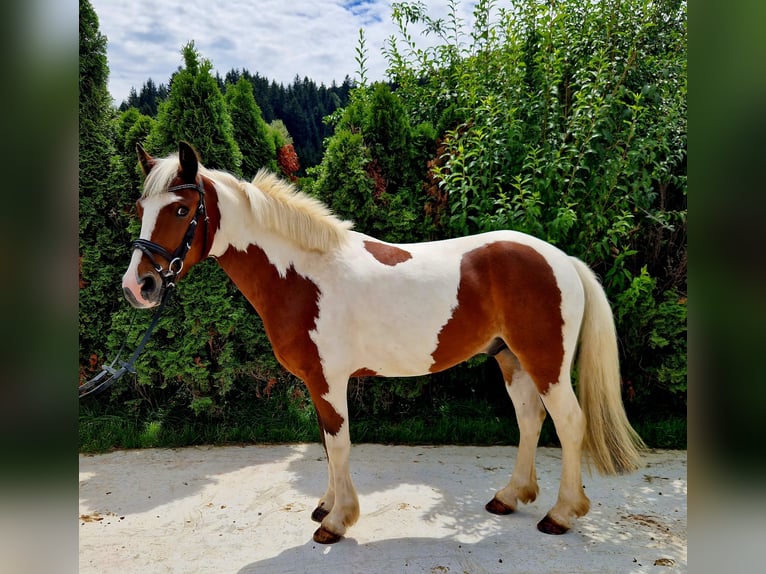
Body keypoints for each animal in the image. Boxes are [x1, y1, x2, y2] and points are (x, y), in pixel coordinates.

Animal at [121, 142, 648, 548]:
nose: (138, 286)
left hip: (546, 361)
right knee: (530, 419)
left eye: (182, 210)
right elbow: (327, 443)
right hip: (510, 359)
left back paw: (561, 514)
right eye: (141, 210)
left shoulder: (329, 380)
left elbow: (339, 443)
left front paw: (337, 521)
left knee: (569, 423)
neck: (303, 277)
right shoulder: (318, 383)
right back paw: (510, 496)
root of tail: (562, 260)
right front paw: (326, 506)